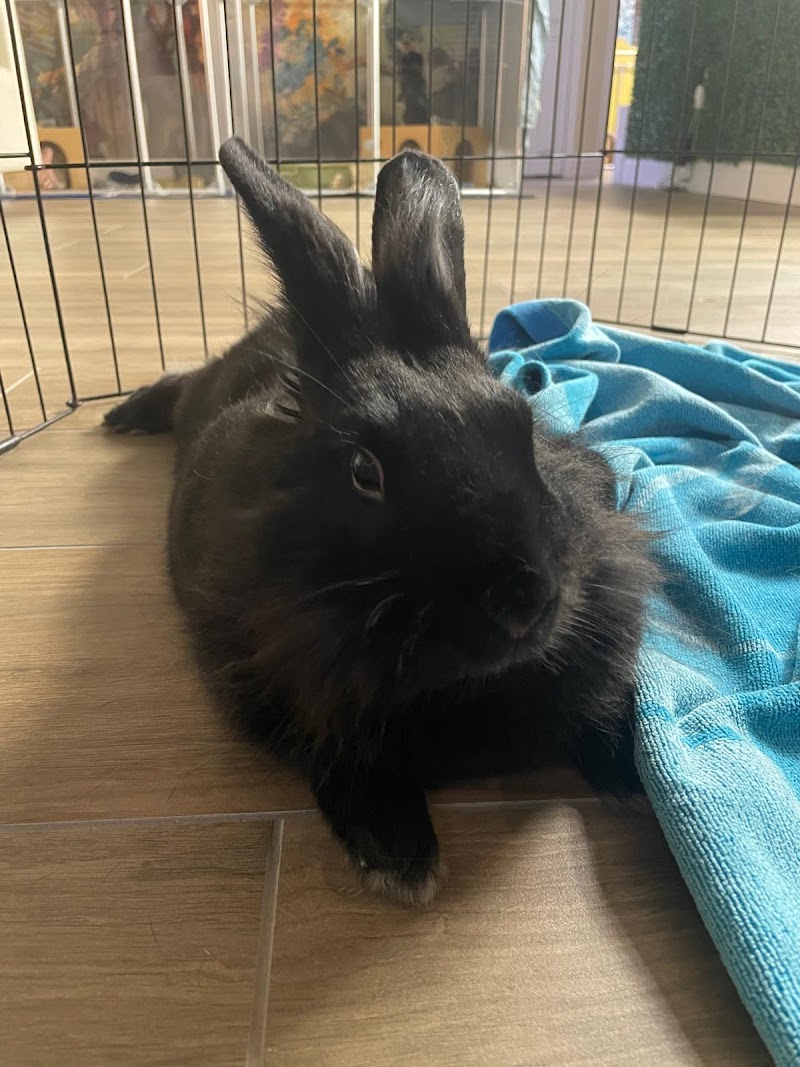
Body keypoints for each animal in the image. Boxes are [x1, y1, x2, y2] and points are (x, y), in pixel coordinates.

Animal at [104, 138, 656, 906]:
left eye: (522, 429)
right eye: (365, 472)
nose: (525, 601)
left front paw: (634, 776)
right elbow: (344, 763)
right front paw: (401, 859)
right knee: (178, 382)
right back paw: (123, 414)